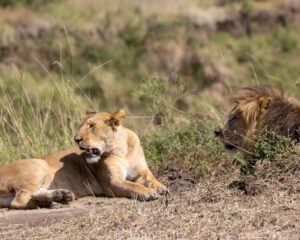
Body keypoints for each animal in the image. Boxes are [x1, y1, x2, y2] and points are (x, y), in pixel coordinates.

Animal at [0, 110, 168, 208]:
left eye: (91, 126)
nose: (76, 139)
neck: (121, 150)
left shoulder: (141, 171)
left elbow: (151, 179)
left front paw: (161, 188)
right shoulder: (112, 182)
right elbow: (133, 186)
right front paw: (148, 193)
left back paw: (60, 196)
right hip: (38, 164)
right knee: (19, 200)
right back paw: (44, 202)